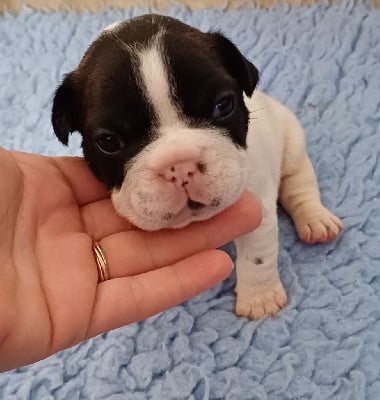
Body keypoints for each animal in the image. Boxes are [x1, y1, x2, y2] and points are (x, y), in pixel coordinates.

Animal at [51, 14, 344, 318]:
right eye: (108, 142)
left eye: (223, 105)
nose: (180, 166)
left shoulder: (258, 205)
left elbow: (257, 255)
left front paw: (259, 300)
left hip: (292, 139)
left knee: (299, 182)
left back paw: (316, 221)